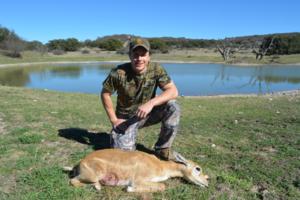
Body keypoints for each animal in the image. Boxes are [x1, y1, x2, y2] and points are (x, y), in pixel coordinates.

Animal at [63, 148, 209, 192]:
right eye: (198, 168)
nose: (207, 183)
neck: (161, 166)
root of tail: (79, 163)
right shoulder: (138, 179)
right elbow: (162, 186)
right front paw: (129, 188)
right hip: (92, 175)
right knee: (72, 181)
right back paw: (98, 187)